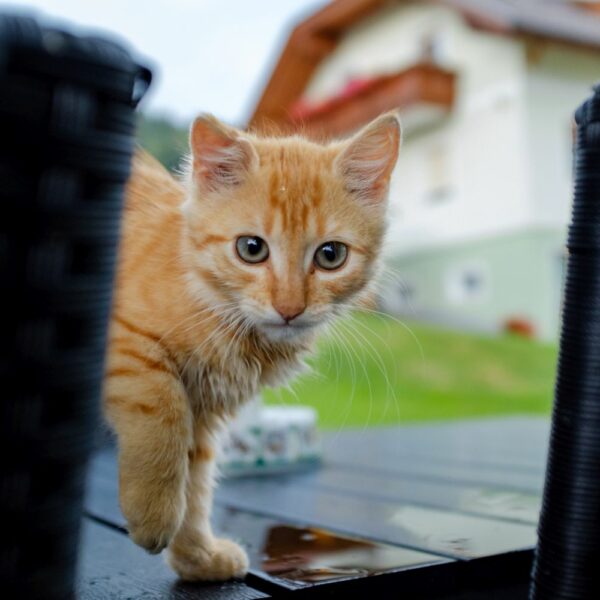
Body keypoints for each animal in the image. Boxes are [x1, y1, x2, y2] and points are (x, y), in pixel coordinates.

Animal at [104, 110, 398, 580]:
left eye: (331, 255)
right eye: (251, 249)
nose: (290, 308)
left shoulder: (204, 414)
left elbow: (196, 481)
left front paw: (197, 555)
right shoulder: (128, 345)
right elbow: (161, 414)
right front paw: (153, 515)